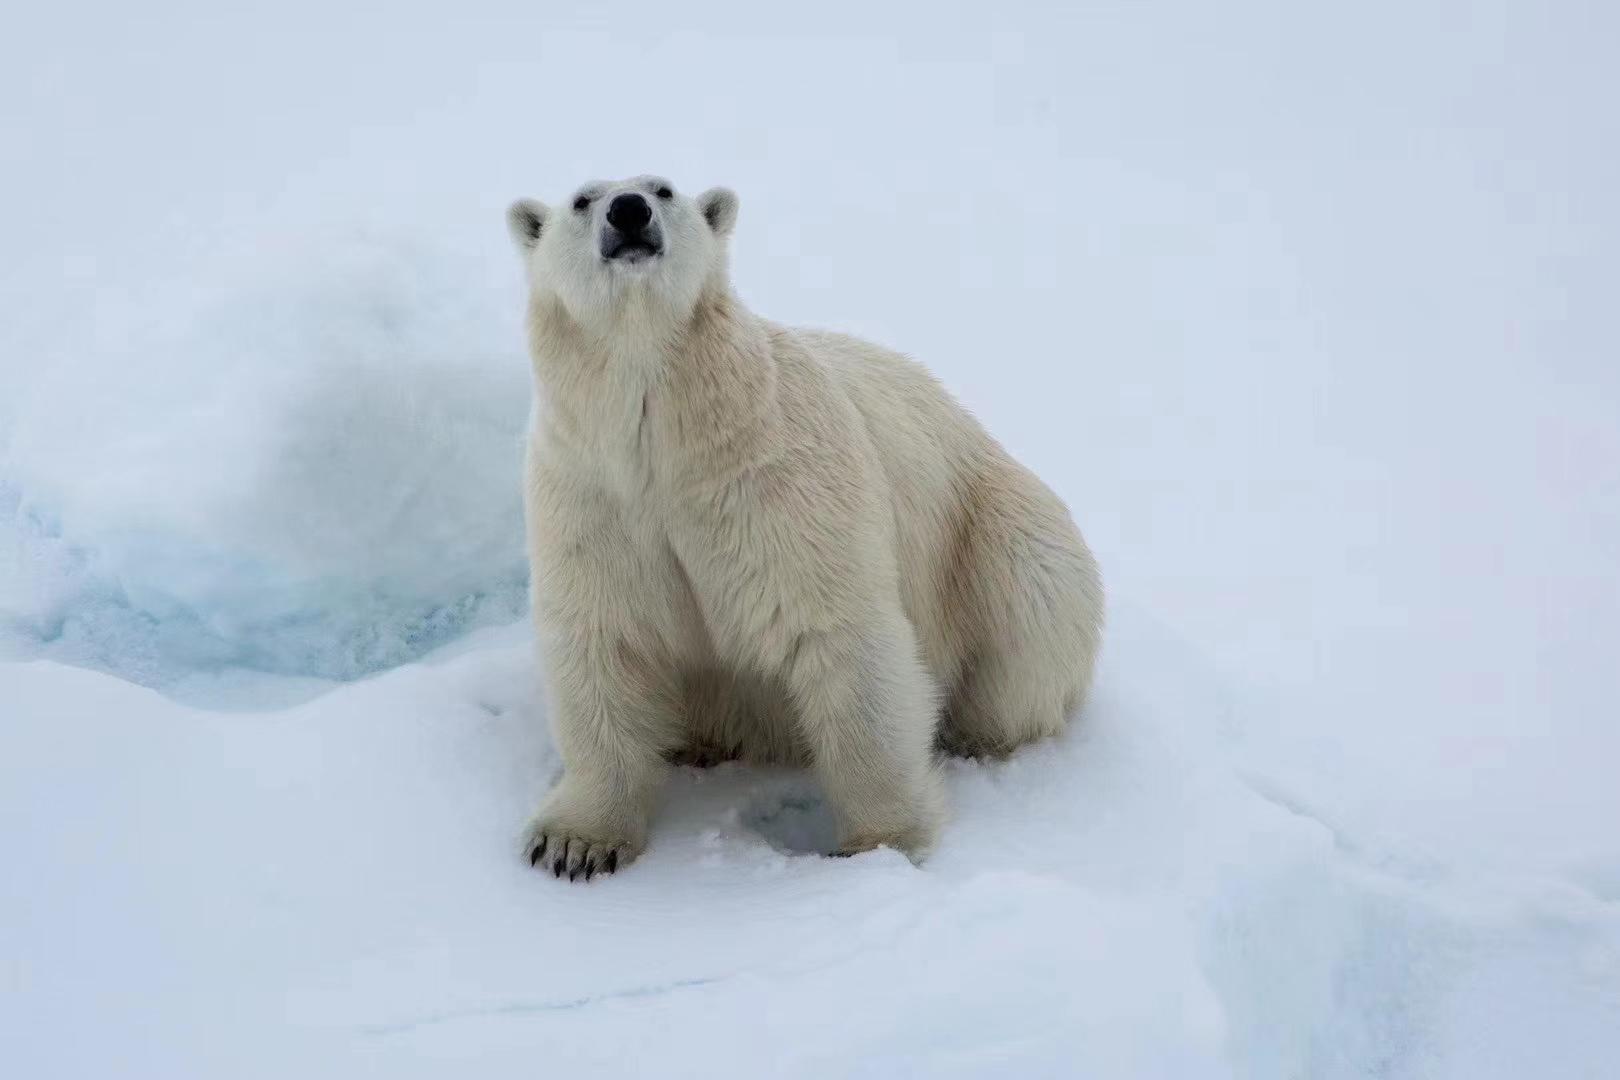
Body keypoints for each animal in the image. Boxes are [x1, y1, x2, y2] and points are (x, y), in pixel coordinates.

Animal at [511, 177, 1108, 880]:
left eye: (664, 188)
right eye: (583, 199)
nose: (629, 211)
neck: (669, 437)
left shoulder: (774, 476)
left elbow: (838, 634)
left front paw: (878, 841)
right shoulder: (591, 491)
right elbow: (605, 639)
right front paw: (574, 844)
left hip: (989, 524)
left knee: (1031, 602)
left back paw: (975, 735)